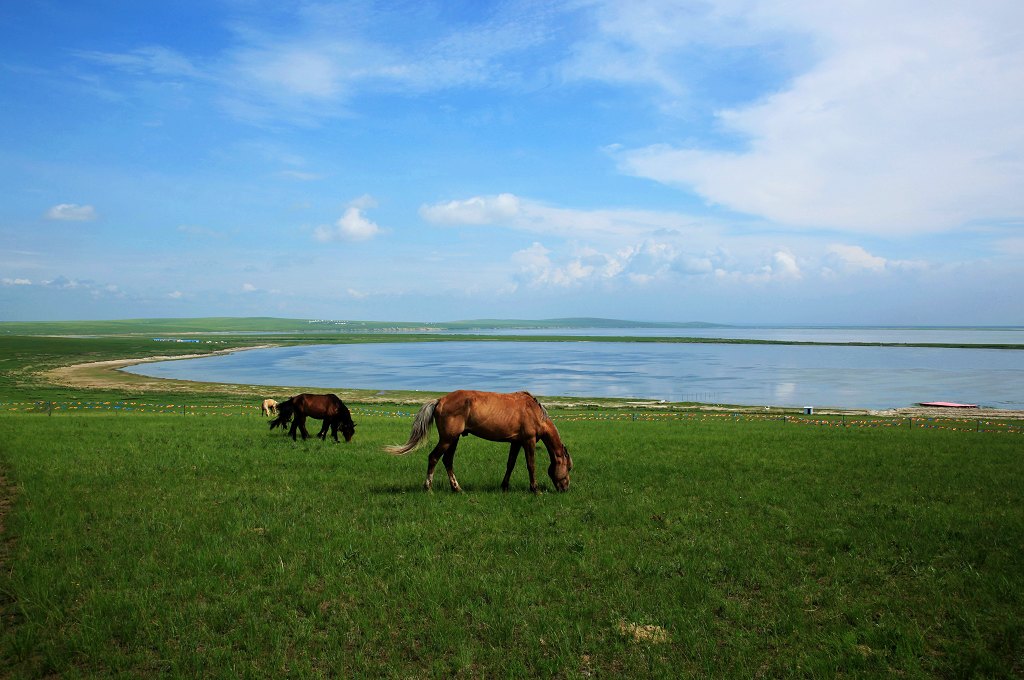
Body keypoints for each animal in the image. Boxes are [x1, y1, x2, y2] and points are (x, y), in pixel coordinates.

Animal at [385, 391, 573, 491]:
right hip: (447, 439)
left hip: (453, 439)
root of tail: (440, 400)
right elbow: (531, 465)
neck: (534, 412)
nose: (565, 488)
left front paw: (504, 486)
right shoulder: (529, 441)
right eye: (569, 467)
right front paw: (535, 489)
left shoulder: (516, 442)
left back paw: (457, 488)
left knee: (447, 460)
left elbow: (510, 464)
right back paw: (428, 488)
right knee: (434, 457)